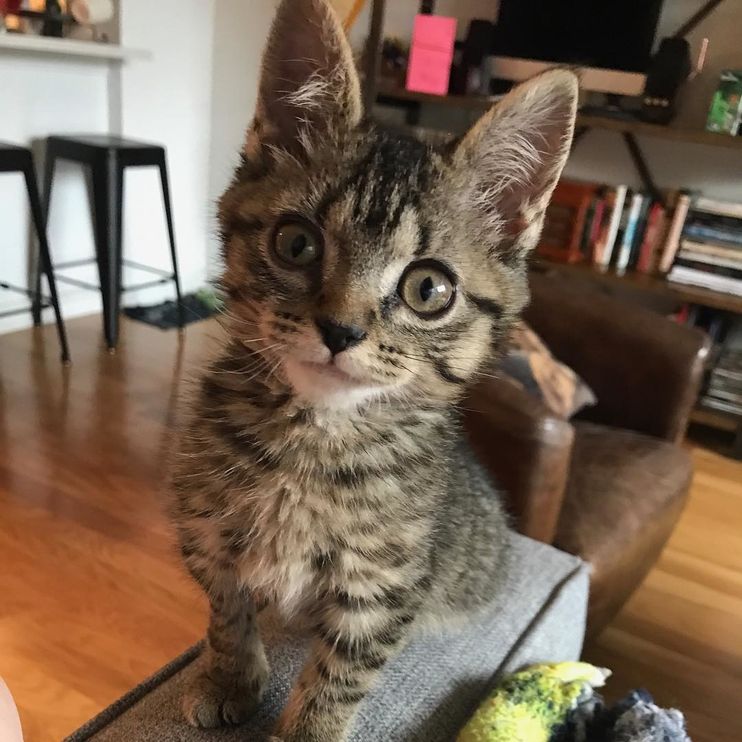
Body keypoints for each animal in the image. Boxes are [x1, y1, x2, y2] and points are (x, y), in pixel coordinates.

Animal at [174, 0, 580, 740]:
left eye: (428, 289)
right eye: (296, 244)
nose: (341, 330)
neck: (312, 442)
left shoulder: (383, 591)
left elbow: (340, 677)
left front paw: (306, 729)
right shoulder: (204, 530)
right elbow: (226, 611)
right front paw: (228, 674)